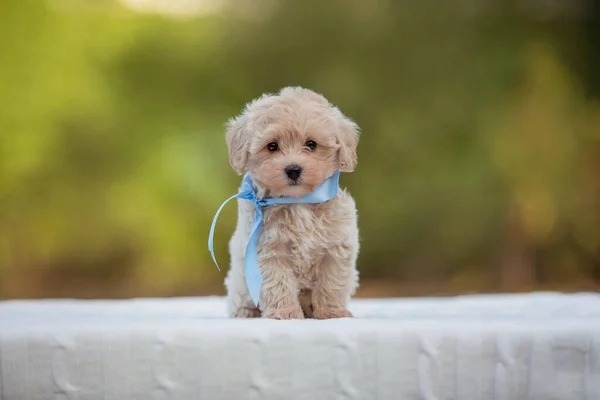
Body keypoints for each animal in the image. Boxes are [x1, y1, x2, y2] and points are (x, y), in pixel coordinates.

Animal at [224, 86, 356, 318]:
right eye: (272, 146)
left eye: (311, 144)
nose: (293, 169)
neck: (298, 201)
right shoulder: (269, 250)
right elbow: (278, 284)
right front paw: (285, 313)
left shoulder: (336, 249)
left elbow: (331, 285)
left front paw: (331, 313)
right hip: (240, 289)